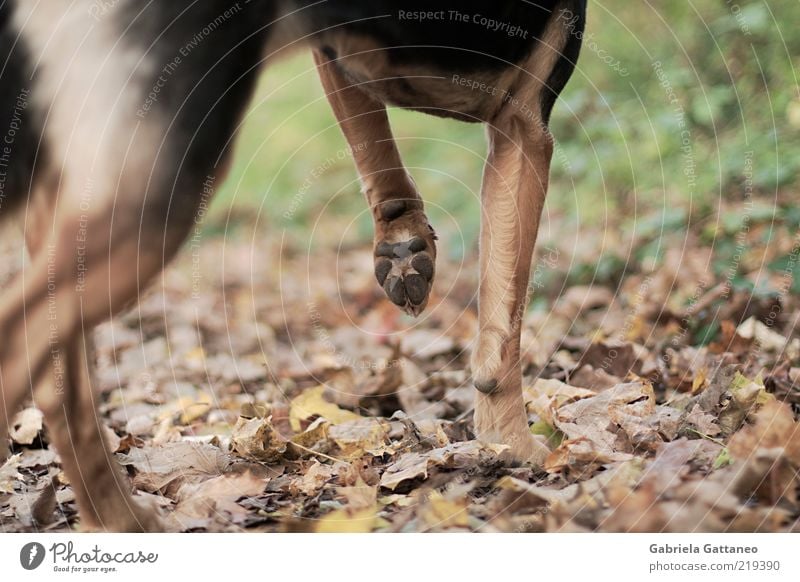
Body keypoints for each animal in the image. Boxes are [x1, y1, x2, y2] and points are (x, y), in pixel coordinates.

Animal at [1, 0, 588, 532]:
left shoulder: (340, 51)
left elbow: (372, 142)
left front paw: (404, 245)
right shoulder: (526, 125)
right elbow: (504, 325)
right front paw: (515, 444)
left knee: (58, 377)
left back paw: (121, 518)